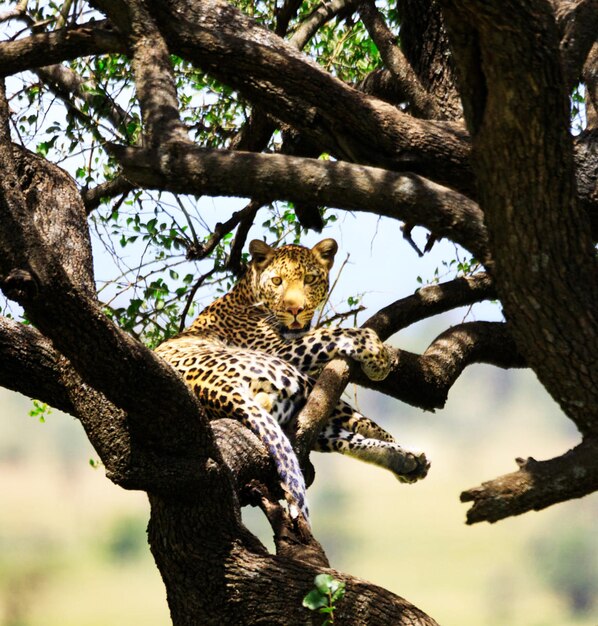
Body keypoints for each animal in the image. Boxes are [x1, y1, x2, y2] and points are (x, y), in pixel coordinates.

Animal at [156, 236, 432, 520]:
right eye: (277, 281)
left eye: (309, 279)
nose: (295, 309)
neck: (247, 294)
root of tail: (218, 389)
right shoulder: (280, 349)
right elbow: (336, 331)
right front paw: (378, 357)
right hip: (292, 375)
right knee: (358, 422)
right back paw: (404, 451)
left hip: (290, 410)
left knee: (343, 436)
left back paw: (405, 460)